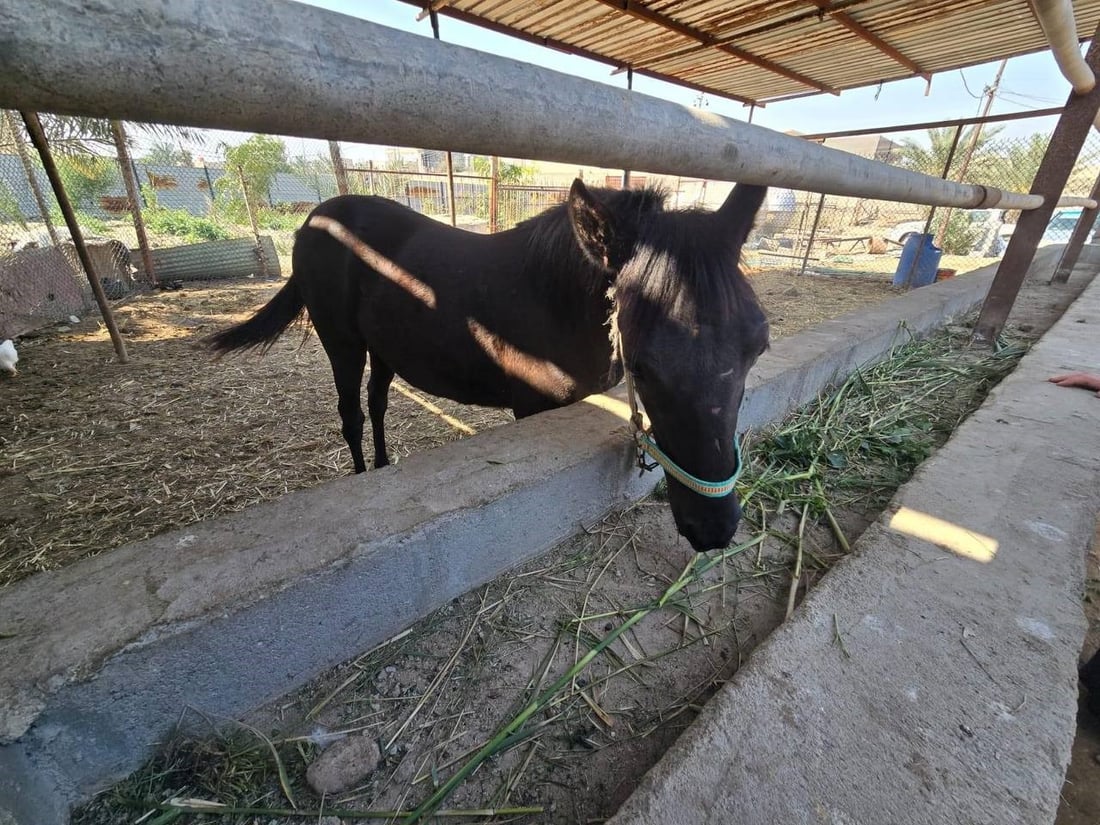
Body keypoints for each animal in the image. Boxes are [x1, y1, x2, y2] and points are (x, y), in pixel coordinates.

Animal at [210, 181, 770, 556]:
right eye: (641, 365)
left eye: (759, 347)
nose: (713, 529)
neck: (554, 300)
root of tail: (317, 218)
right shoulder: (532, 408)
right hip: (341, 344)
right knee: (351, 414)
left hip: (383, 349)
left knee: (377, 404)